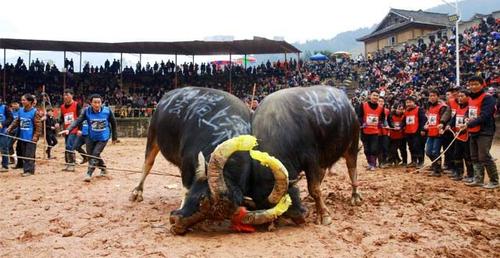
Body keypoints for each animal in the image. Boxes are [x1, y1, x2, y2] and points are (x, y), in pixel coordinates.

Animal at [252, 85, 362, 225]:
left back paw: (355, 196)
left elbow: (314, 188)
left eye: (284, 197)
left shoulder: (311, 159)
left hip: (352, 142)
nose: (301, 216)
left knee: (352, 169)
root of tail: (349, 105)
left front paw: (324, 215)